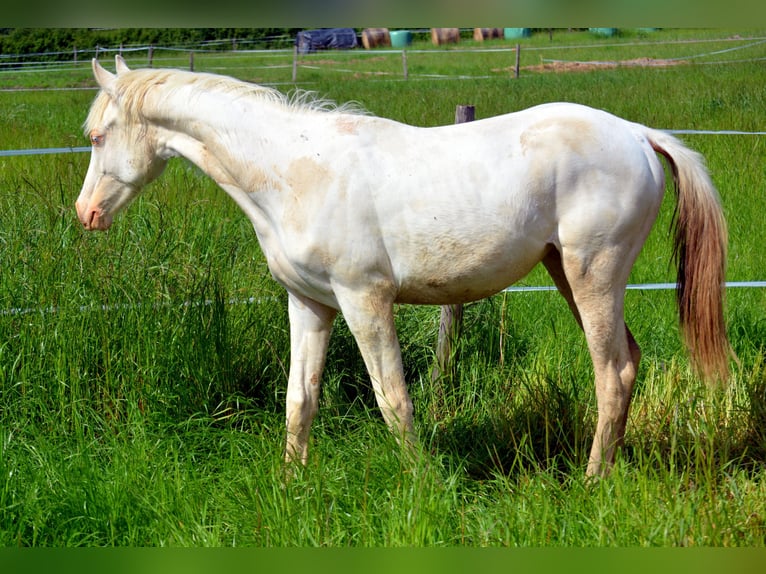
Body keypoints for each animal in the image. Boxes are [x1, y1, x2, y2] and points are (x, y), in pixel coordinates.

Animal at [76, 55, 732, 476]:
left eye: (98, 136)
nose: (87, 214)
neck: (294, 171)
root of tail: (639, 136)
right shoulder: (309, 304)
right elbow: (299, 400)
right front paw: (291, 488)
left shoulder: (364, 300)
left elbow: (392, 398)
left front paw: (420, 487)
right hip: (566, 273)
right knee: (629, 363)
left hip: (593, 274)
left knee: (612, 371)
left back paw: (592, 482)